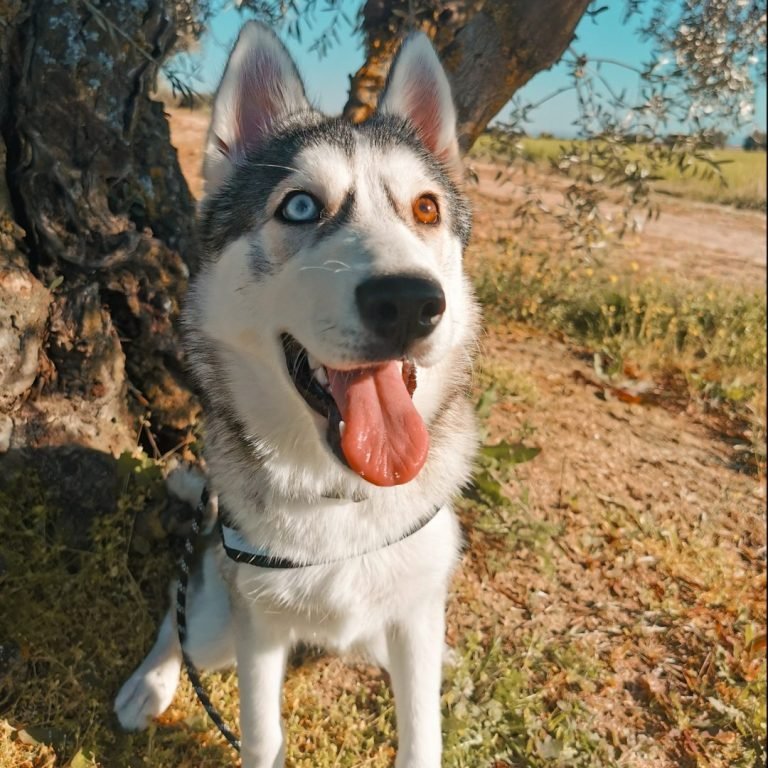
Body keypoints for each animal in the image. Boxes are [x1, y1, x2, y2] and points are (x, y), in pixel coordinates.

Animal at [113, 21, 476, 764]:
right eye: (301, 206)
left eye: (426, 208)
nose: (410, 302)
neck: (342, 500)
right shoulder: (257, 626)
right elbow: (261, 734)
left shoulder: (414, 616)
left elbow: (422, 735)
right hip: (217, 624)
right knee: (178, 614)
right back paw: (150, 682)